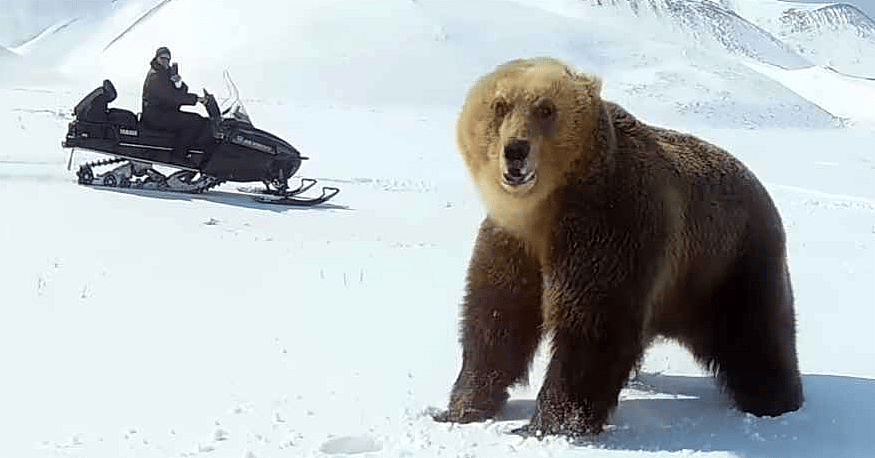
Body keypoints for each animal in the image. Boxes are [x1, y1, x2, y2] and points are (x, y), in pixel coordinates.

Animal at [433, 57, 803, 437]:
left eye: (546, 108)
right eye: (500, 105)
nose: (516, 150)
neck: (545, 208)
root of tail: (759, 185)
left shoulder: (610, 222)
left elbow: (591, 322)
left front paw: (552, 423)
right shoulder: (513, 241)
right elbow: (497, 317)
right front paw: (462, 407)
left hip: (727, 260)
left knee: (755, 333)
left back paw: (775, 400)